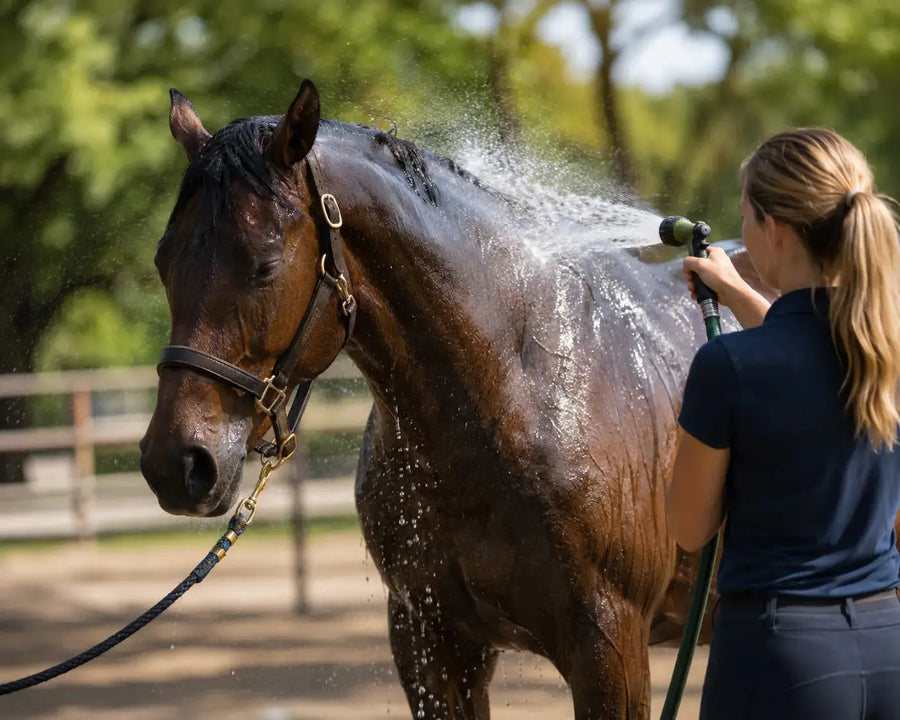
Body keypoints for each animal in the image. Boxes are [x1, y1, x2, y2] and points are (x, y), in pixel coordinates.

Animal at [139, 80, 767, 719]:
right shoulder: (430, 645)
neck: (517, 392)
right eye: (164, 262)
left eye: (265, 264)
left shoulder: (611, 653)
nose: (176, 463)